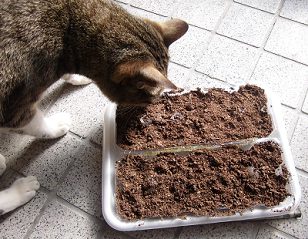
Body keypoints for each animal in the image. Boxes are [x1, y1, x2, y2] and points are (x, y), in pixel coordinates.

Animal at [0, 0, 188, 214]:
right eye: (149, 99)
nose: (149, 110)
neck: (69, 30)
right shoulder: (13, 109)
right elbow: (39, 124)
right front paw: (55, 126)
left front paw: (76, 78)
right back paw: (19, 190)